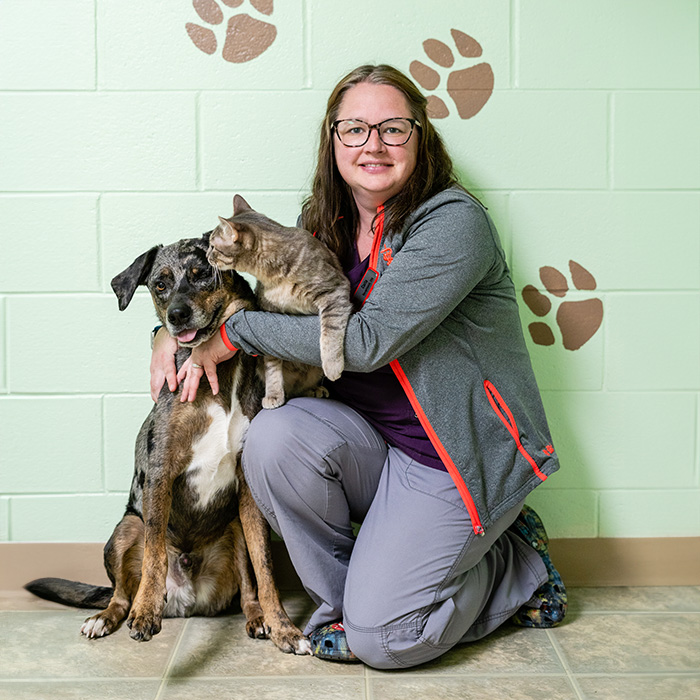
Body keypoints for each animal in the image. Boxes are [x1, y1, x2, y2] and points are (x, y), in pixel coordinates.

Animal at [24, 235, 310, 656]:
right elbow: (156, 553)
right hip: (125, 529)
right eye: (159, 284)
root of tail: (186, 602)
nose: (176, 315)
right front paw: (146, 612)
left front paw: (283, 628)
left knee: (247, 590)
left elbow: (265, 570)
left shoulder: (248, 494)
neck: (216, 375)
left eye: (201, 273)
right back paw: (109, 616)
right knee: (120, 592)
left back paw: (257, 619)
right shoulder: (161, 473)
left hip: (235, 528)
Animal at [206, 194, 350, 408]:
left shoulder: (335, 289)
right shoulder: (269, 320)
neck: (273, 277)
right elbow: (272, 368)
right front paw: (274, 394)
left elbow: (330, 332)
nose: (207, 255)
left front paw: (332, 365)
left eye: (213, 246)